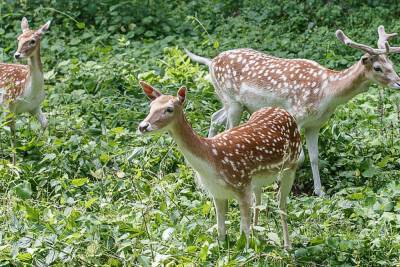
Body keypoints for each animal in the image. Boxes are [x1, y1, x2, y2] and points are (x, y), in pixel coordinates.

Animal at [0, 17, 51, 163]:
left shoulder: (34, 106)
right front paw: (14, 164)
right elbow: (13, 136)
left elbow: (45, 123)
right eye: (18, 39)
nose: (17, 55)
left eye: (32, 41)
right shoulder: (9, 106)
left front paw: (32, 149)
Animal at [137, 81, 300, 249]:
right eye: (151, 106)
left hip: (292, 164)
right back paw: (259, 232)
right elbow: (221, 230)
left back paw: (287, 245)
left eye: (169, 109)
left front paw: (248, 249)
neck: (211, 160)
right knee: (259, 199)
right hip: (256, 179)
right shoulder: (216, 192)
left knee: (281, 203)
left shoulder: (242, 187)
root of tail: (283, 111)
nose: (143, 126)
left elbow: (244, 234)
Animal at [186, 25, 400, 197]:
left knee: (215, 117)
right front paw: (280, 187)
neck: (327, 92)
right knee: (228, 129)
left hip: (230, 102)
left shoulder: (315, 125)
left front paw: (319, 192)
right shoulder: (296, 115)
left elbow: (315, 158)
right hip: (232, 102)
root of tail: (211, 62)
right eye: (378, 67)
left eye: (392, 64)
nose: (398, 82)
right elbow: (300, 157)